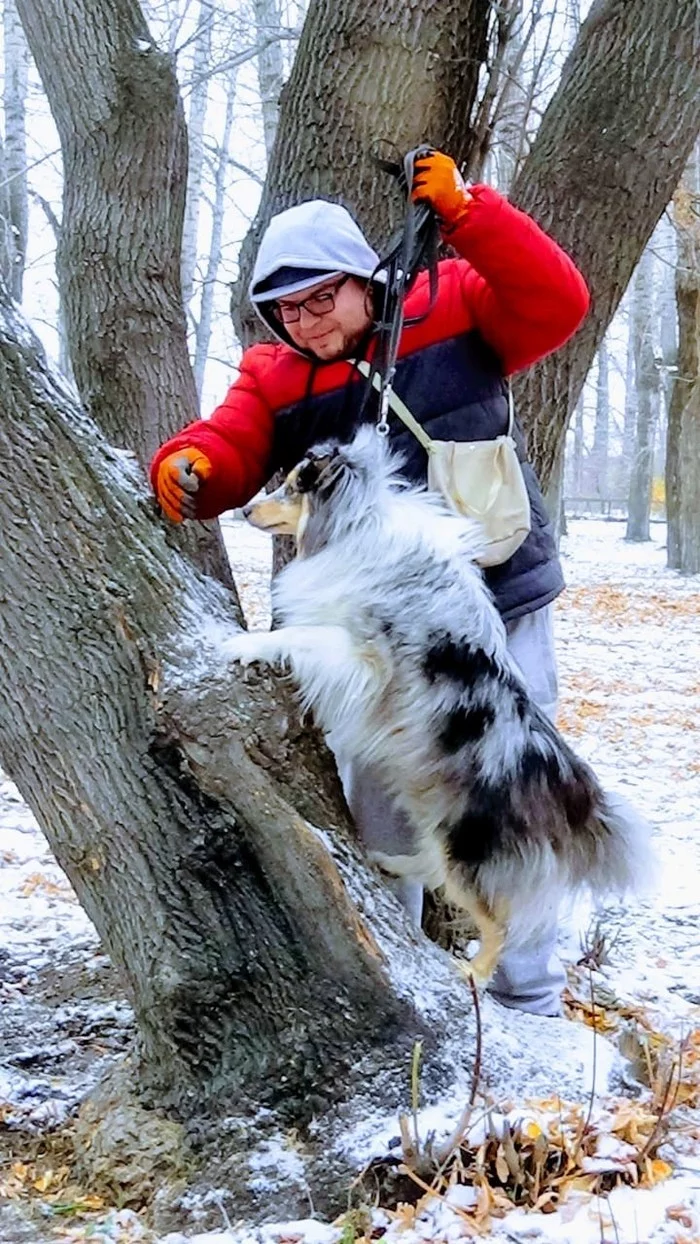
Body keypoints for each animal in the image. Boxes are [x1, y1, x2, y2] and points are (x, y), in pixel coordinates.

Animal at [223, 427, 651, 980]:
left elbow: (302, 635)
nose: (245, 510)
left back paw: (467, 973)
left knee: (499, 926)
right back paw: (388, 862)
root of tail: (567, 786)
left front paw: (243, 642)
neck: (357, 523)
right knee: (430, 870)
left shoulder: (364, 656)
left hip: (466, 846)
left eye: (295, 487)